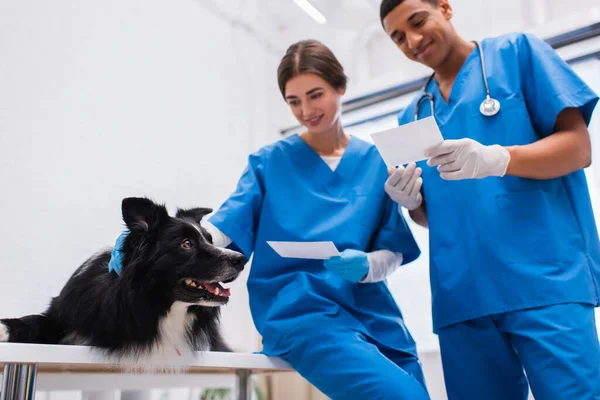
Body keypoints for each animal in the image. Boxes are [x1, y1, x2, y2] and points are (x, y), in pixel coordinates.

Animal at [0, 197, 246, 368]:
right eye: (186, 244)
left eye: (210, 240)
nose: (241, 259)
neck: (156, 305)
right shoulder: (65, 314)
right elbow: (36, 320)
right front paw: (4, 328)